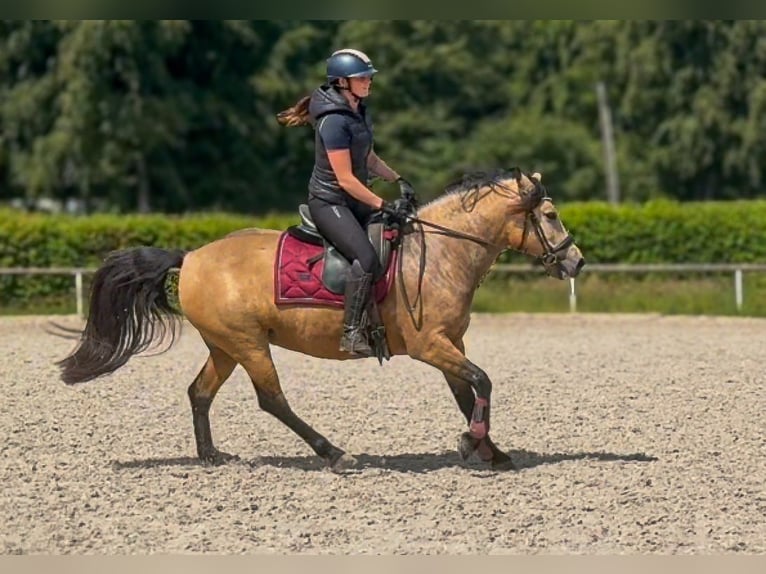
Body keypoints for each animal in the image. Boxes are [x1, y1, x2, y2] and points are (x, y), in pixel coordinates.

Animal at [56, 168, 584, 472]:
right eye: (551, 215)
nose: (575, 262)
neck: (438, 254)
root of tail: (191, 258)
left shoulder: (450, 343)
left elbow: (468, 392)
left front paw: (489, 450)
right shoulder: (430, 345)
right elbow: (483, 381)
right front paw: (471, 444)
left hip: (225, 346)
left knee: (200, 393)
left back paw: (211, 457)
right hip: (249, 344)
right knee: (272, 400)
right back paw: (334, 453)